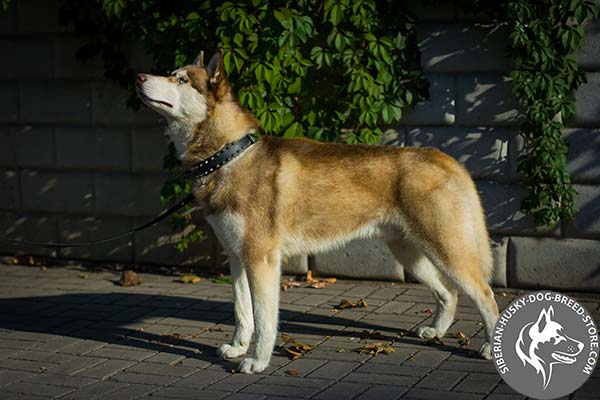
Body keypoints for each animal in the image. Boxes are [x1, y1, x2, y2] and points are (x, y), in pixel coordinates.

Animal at [137, 48, 502, 374]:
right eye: (171, 73)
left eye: (181, 79)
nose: (139, 76)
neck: (229, 154)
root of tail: (444, 157)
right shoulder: (237, 258)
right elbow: (243, 314)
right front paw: (238, 347)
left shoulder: (262, 260)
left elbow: (265, 321)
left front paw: (257, 361)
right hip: (409, 254)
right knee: (448, 293)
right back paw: (436, 331)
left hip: (447, 250)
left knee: (484, 295)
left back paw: (488, 346)